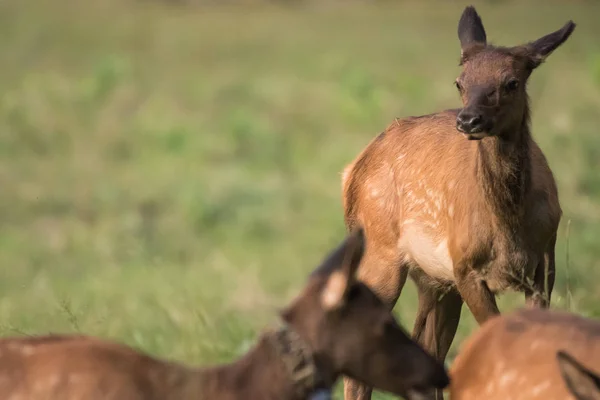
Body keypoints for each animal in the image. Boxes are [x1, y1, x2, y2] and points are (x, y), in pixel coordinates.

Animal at [340, 5, 576, 400]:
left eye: (512, 82)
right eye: (460, 82)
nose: (468, 120)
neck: (509, 228)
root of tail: (353, 168)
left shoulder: (545, 263)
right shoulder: (467, 268)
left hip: (433, 279)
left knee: (427, 354)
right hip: (380, 254)